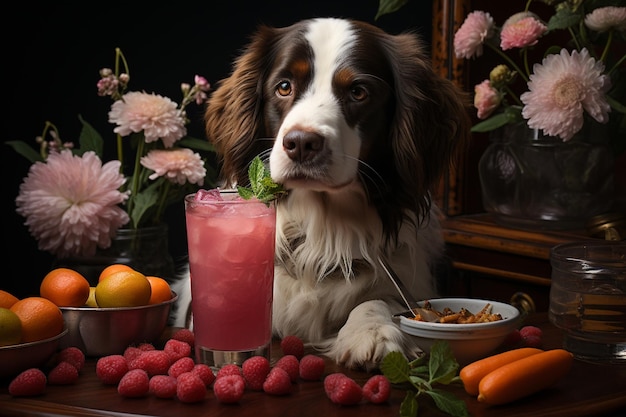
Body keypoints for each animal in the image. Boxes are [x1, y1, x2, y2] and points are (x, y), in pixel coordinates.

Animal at [173, 16, 466, 368]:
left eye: (358, 92)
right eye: (284, 86)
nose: (301, 143)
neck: (320, 231)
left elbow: (385, 300)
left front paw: (374, 330)